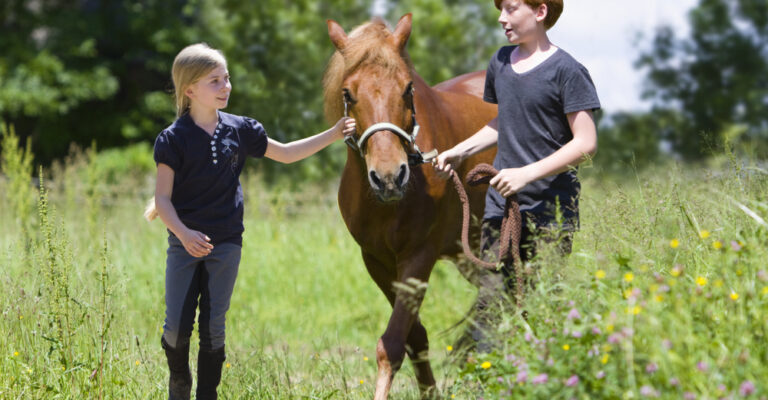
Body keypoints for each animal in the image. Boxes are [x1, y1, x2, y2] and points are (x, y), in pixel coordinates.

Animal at [324, 14, 497, 399]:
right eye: (348, 93)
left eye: (407, 89)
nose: (389, 177)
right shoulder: (377, 261)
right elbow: (414, 338)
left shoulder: (419, 256)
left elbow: (390, 345)